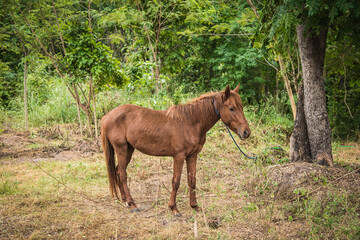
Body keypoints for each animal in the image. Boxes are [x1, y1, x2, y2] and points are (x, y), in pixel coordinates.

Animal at [101, 85, 250, 216]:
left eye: (241, 107)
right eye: (231, 108)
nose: (246, 132)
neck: (190, 122)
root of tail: (107, 116)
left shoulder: (192, 156)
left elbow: (192, 180)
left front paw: (195, 206)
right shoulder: (179, 156)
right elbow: (176, 181)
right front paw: (174, 209)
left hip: (129, 150)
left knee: (118, 171)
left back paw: (125, 200)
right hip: (121, 149)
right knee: (122, 173)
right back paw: (132, 204)